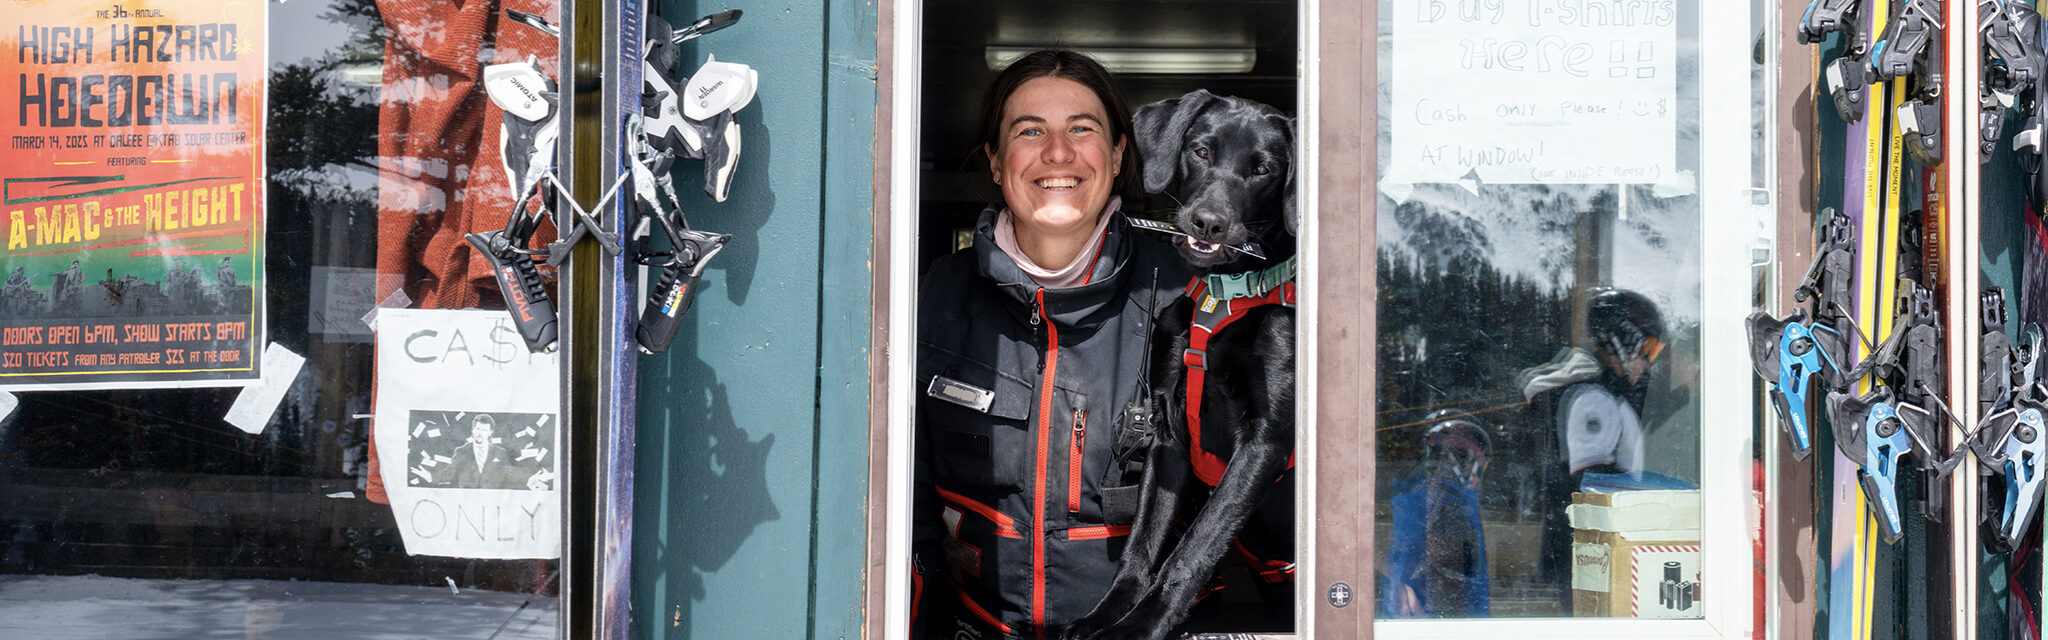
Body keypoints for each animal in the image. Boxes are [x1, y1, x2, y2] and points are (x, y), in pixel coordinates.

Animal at [1056, 90, 1294, 640]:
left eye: (1263, 169)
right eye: (1202, 152)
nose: (1208, 222)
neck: (1222, 297)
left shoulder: (1265, 442)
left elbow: (1193, 548)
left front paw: (1138, 628)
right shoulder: (1168, 431)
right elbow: (1142, 542)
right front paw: (1104, 618)